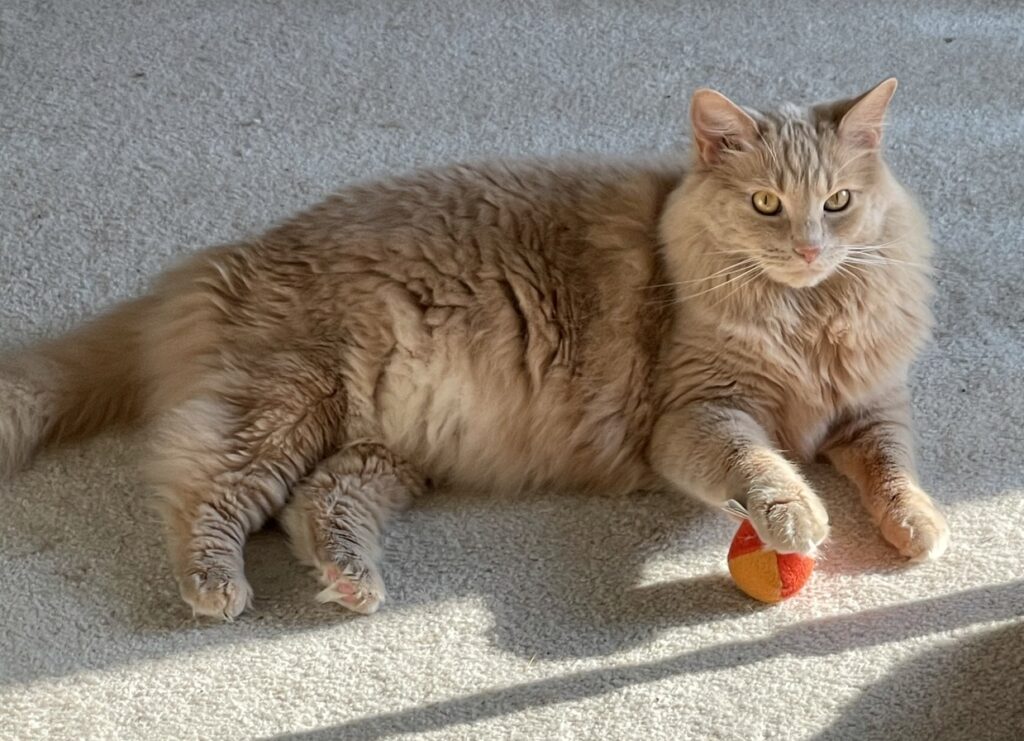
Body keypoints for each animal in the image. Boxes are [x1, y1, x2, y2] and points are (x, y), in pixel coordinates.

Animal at [0, 78, 950, 618]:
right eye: (764, 205)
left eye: (837, 203)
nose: (809, 248)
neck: (809, 316)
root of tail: (224, 258)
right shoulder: (697, 411)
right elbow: (760, 464)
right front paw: (798, 518)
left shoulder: (871, 406)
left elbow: (893, 467)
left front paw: (920, 528)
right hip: (282, 408)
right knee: (204, 492)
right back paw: (217, 589)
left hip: (378, 447)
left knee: (314, 506)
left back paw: (351, 582)